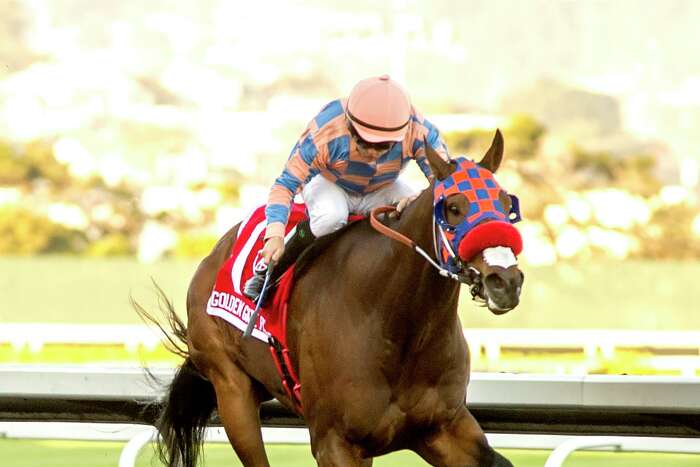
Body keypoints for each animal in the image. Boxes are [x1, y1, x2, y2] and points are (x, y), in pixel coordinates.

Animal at [137, 130, 524, 466]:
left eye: (507, 204)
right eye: (454, 208)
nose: (506, 281)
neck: (396, 323)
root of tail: (213, 254)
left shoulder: (441, 427)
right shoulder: (335, 442)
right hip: (232, 390)